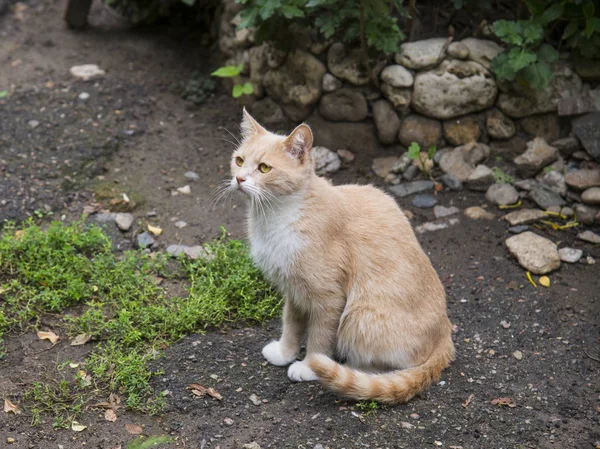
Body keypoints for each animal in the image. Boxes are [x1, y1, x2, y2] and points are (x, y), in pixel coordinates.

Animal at [225, 107, 454, 402]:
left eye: (264, 168)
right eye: (239, 160)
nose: (239, 178)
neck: (276, 216)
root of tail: (445, 333)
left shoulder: (328, 297)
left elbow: (320, 337)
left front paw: (309, 366)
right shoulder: (294, 290)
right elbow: (291, 324)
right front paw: (285, 353)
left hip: (359, 315)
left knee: (386, 368)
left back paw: (350, 369)